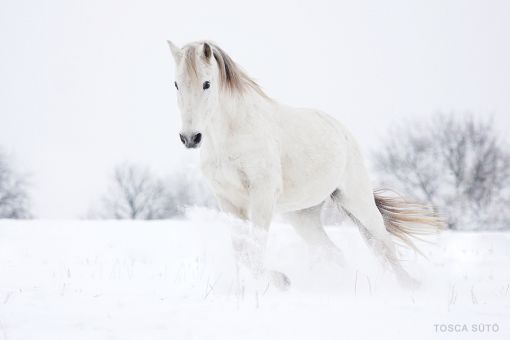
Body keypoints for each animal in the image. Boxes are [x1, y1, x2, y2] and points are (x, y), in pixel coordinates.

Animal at [168, 40, 442, 290]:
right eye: (176, 84)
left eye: (207, 83)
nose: (190, 138)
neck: (232, 133)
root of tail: (342, 131)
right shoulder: (227, 200)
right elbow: (242, 252)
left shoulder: (262, 195)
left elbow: (255, 248)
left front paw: (280, 280)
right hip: (303, 215)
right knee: (336, 252)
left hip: (358, 201)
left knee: (385, 246)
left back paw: (408, 286)